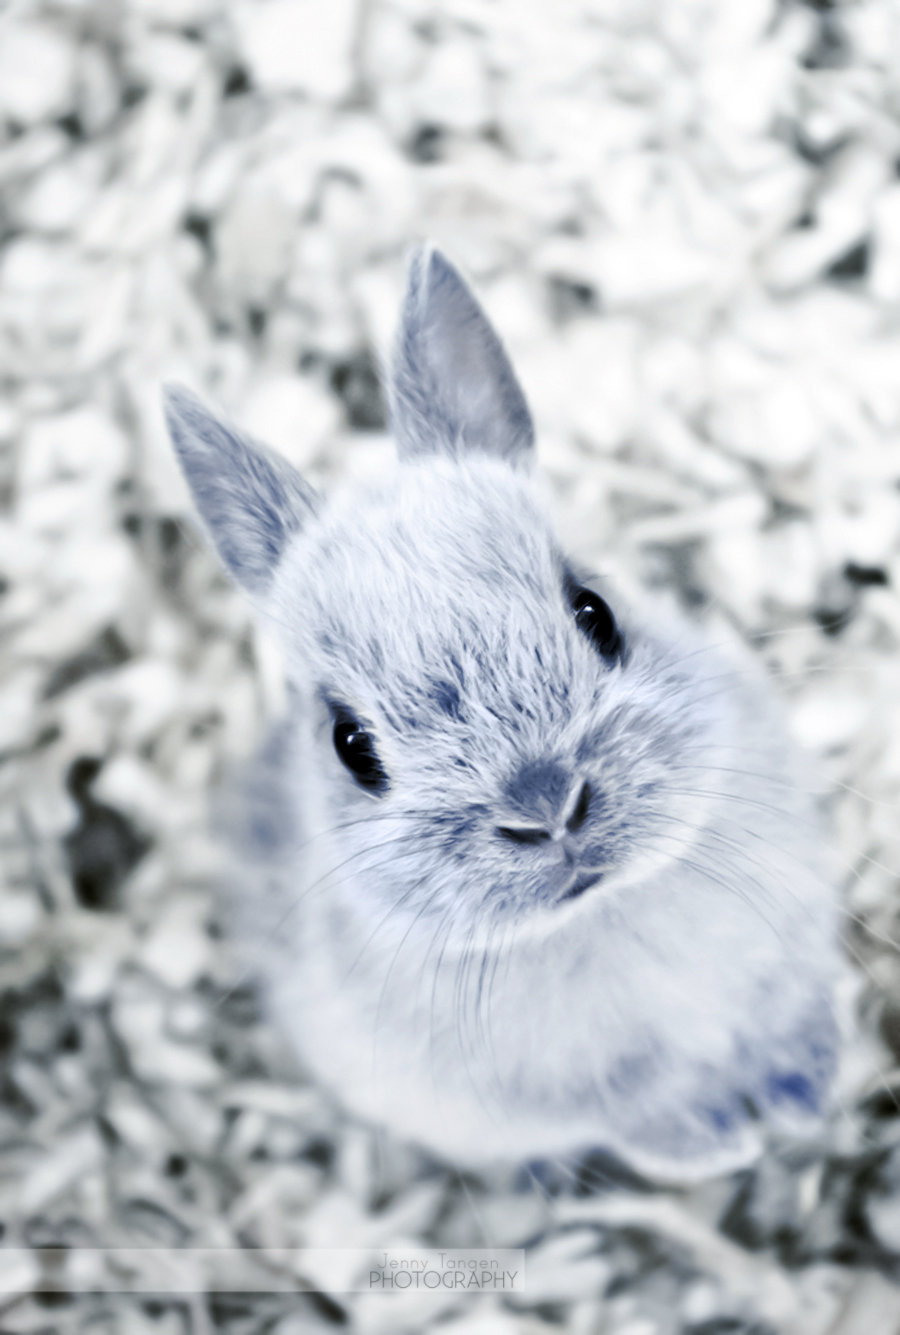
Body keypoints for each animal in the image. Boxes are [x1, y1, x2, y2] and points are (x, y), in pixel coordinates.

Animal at [163, 245, 841, 1183]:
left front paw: (808, 1085)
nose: (547, 808)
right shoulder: (589, 1088)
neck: (604, 908)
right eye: (350, 744)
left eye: (596, 611)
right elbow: (645, 1107)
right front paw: (718, 1141)